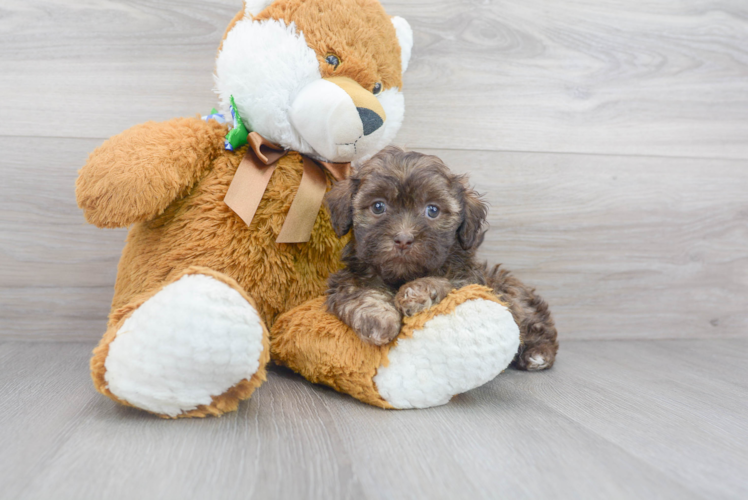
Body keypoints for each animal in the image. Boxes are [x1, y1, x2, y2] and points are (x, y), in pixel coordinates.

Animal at [324, 146, 560, 370]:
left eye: (433, 210)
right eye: (378, 206)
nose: (403, 239)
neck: (401, 275)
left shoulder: (468, 279)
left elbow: (443, 281)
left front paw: (415, 293)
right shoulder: (347, 279)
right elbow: (360, 293)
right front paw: (380, 319)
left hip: (513, 293)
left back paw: (538, 354)